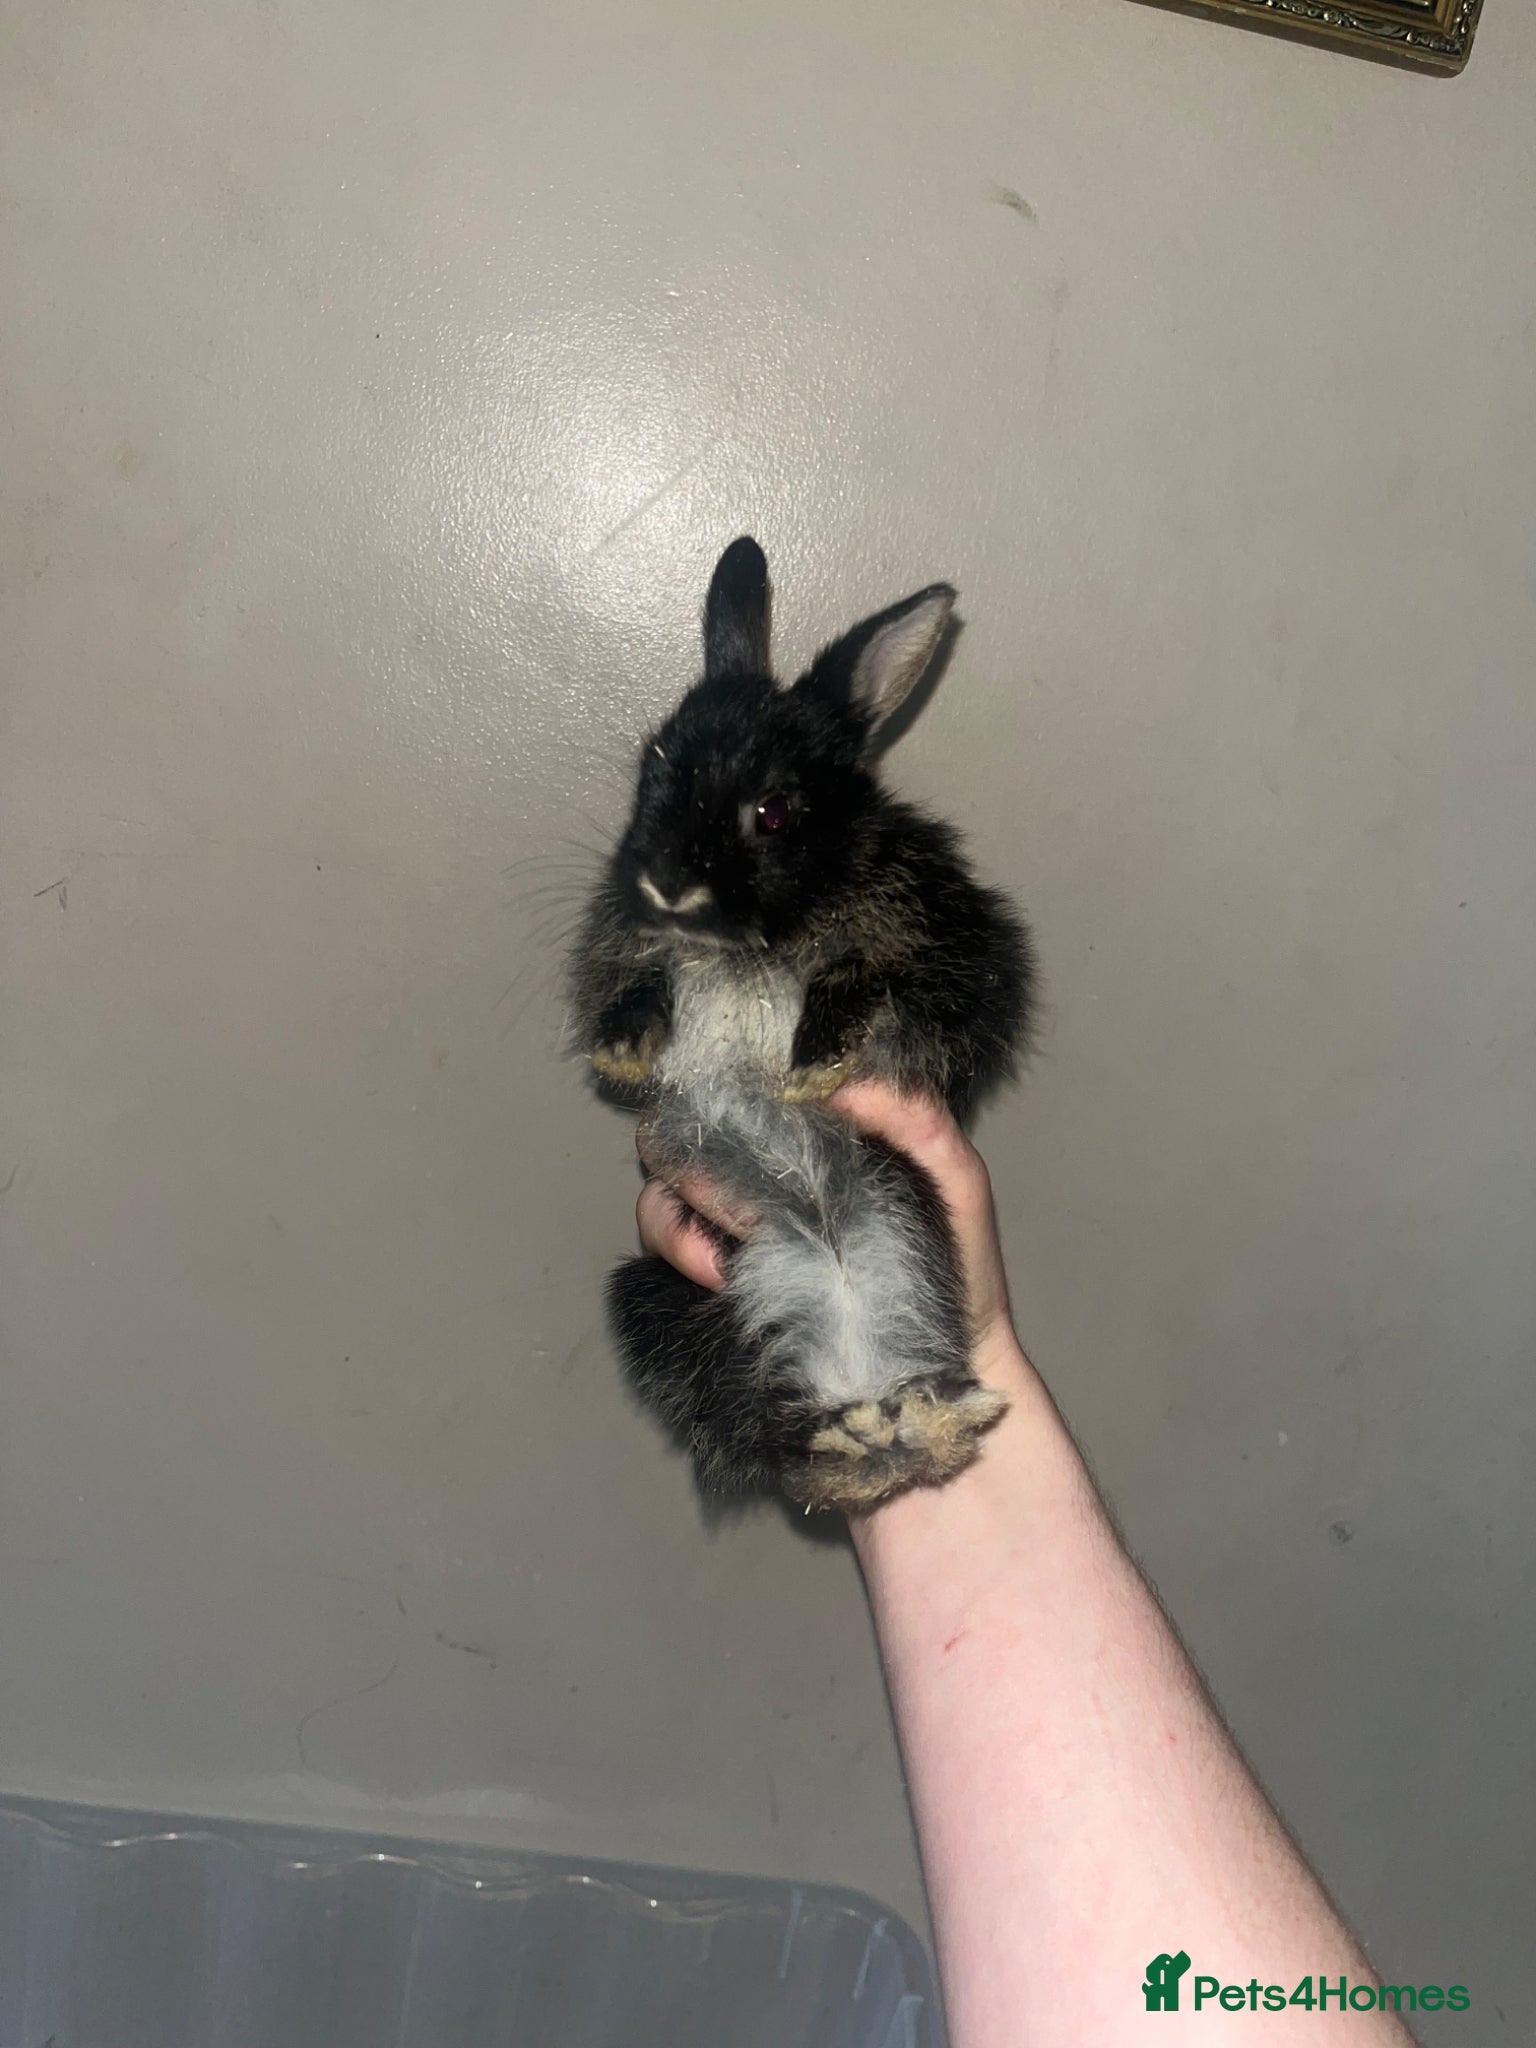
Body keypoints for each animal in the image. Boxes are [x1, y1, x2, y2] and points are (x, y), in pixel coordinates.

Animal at [569, 536, 1034, 1511]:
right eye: (652, 766)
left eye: (775, 811)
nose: (667, 883)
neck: (752, 942)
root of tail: (856, 1369)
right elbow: (635, 985)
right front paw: (625, 1050)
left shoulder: (951, 953)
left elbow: (871, 981)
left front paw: (814, 1060)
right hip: (668, 1302)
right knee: (768, 1430)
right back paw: (854, 1439)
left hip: (898, 1207)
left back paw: (919, 1424)